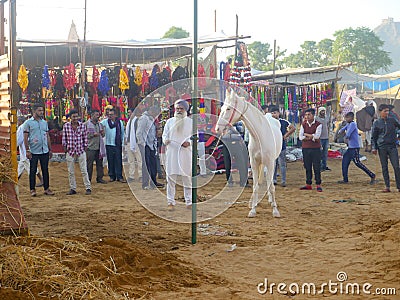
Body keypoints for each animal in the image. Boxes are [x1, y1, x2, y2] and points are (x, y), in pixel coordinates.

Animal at [214, 89, 282, 218]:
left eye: (229, 109)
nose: (217, 129)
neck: (260, 135)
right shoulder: (254, 163)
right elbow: (255, 186)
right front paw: (253, 210)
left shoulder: (270, 163)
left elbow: (271, 187)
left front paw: (275, 211)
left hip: (273, 162)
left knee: (270, 181)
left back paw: (271, 201)